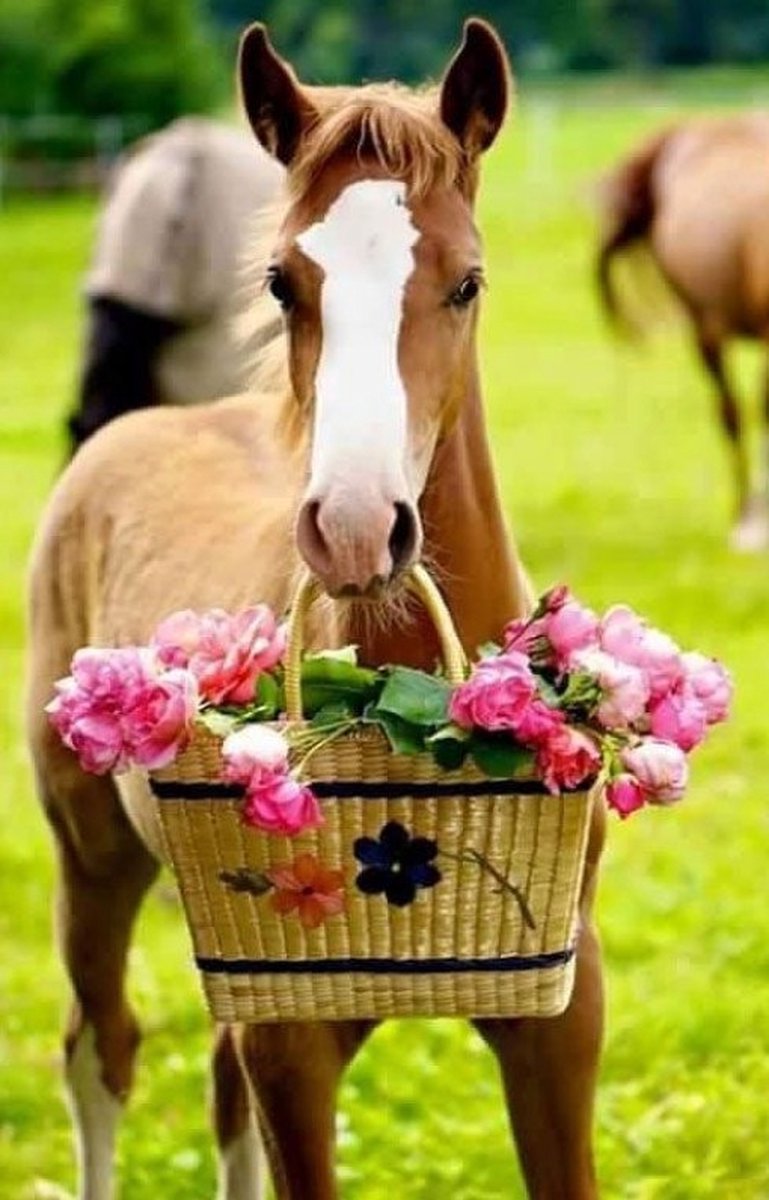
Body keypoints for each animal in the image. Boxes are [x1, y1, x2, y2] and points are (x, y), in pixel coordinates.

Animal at [26, 21, 606, 1200]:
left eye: (467, 281)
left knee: (212, 1083)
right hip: (91, 858)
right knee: (100, 1052)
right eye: (280, 281)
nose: (352, 527)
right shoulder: (295, 1040)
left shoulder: (559, 1021)